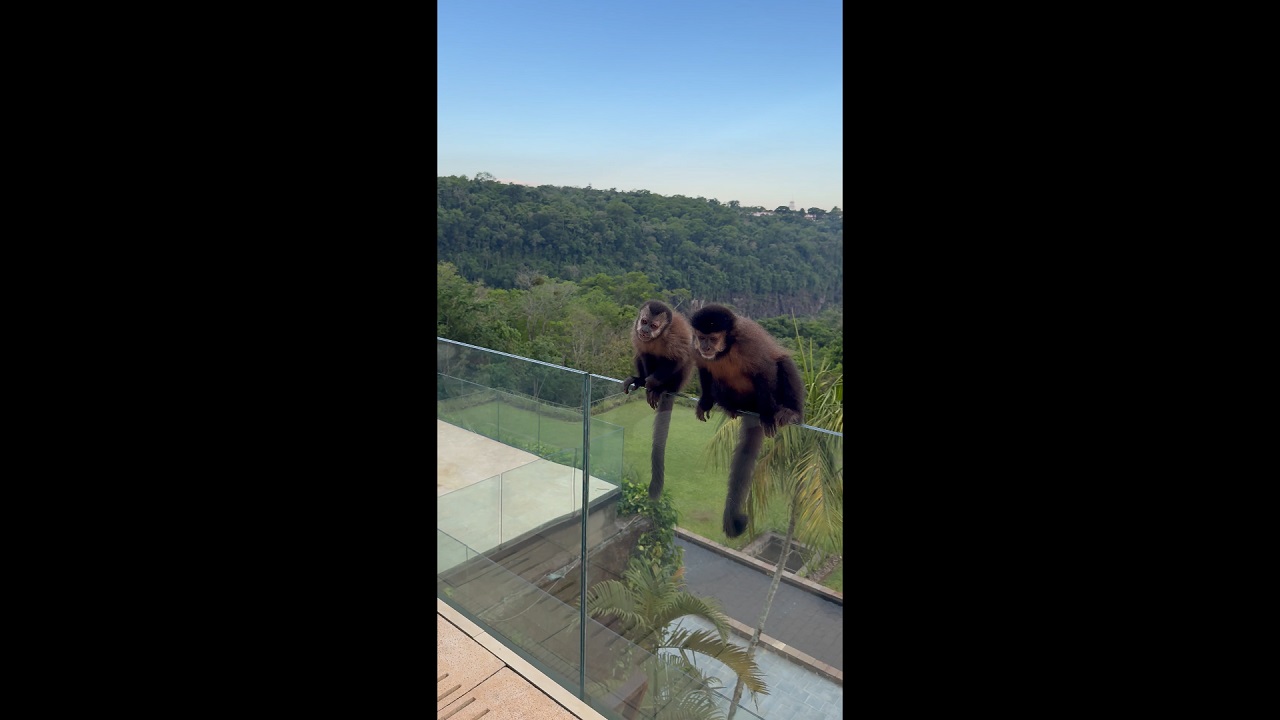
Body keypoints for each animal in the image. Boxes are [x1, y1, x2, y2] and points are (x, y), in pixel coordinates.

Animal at [620, 300, 695, 500]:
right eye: (644, 321)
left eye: (653, 326)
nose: (645, 330)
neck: (657, 338)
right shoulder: (636, 333)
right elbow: (644, 354)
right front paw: (643, 380)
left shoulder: (674, 337)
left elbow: (677, 359)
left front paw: (653, 384)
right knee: (642, 355)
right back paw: (639, 380)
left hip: (678, 382)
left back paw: (661, 389)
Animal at [689, 303, 805, 538]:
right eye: (701, 337)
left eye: (712, 338)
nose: (705, 346)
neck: (726, 349)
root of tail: (751, 408)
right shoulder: (695, 346)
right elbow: (704, 368)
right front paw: (705, 402)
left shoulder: (747, 340)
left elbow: (766, 368)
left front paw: (769, 415)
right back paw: (731, 408)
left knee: (782, 362)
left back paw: (791, 413)